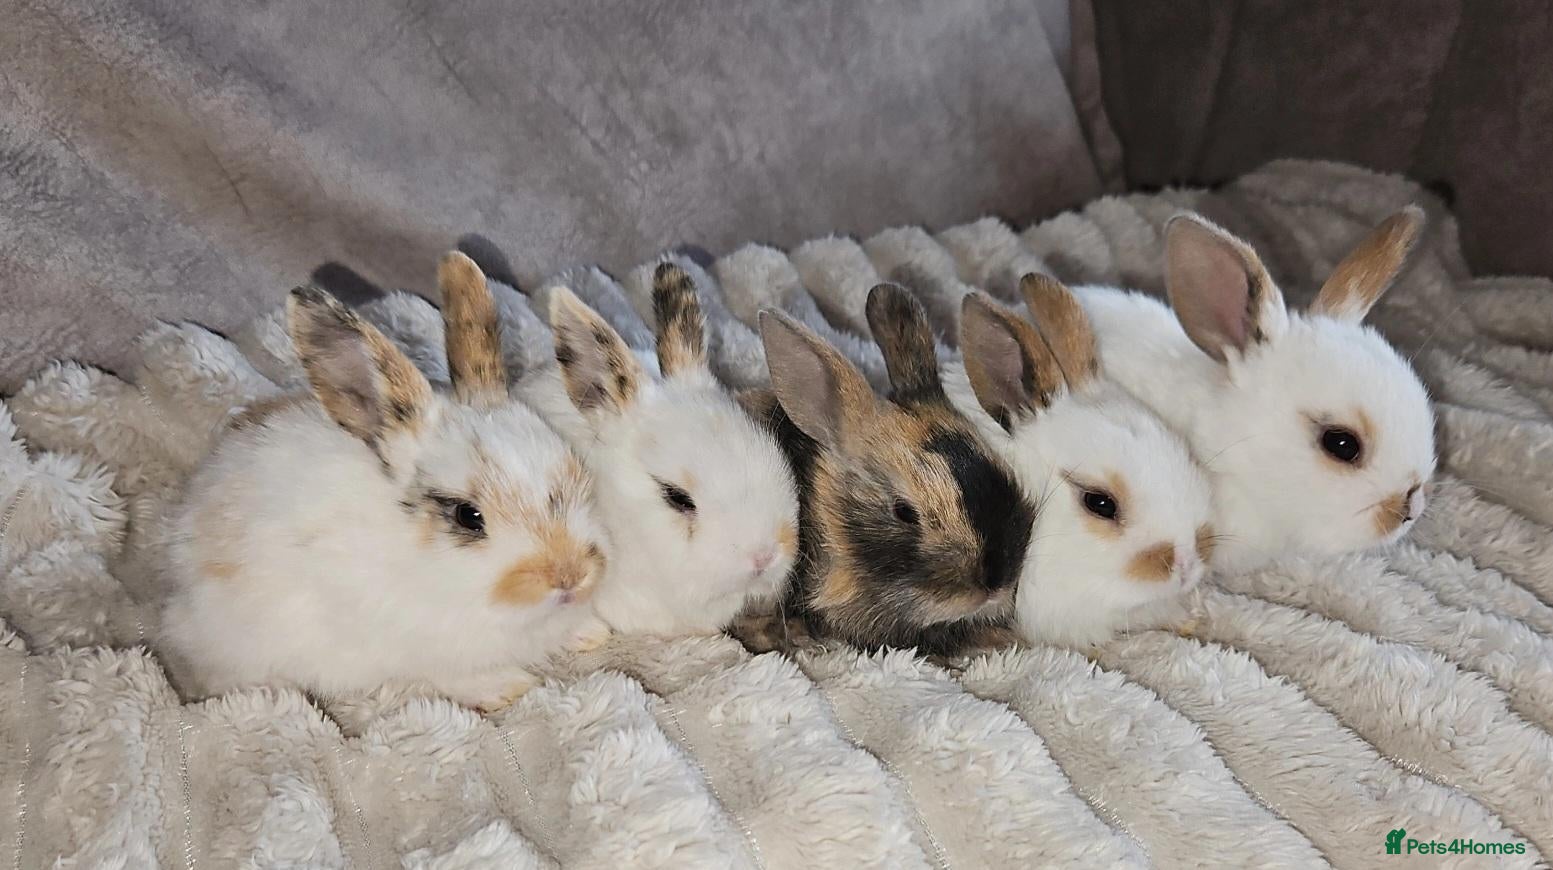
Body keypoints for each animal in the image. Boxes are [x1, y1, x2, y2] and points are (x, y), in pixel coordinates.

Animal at [160, 255, 609, 713]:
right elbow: (461, 677)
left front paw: (591, 632)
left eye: (577, 473)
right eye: (468, 516)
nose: (571, 576)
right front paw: (508, 687)